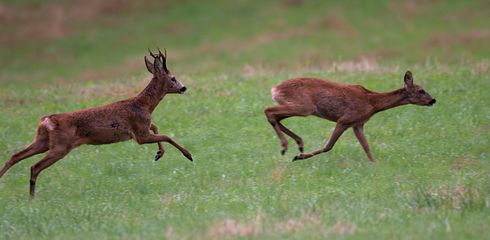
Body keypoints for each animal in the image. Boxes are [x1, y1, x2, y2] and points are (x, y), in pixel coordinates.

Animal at [0, 48, 193, 197]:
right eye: (173, 78)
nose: (184, 88)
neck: (143, 105)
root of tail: (47, 119)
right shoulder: (139, 135)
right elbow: (167, 135)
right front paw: (188, 155)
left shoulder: (142, 129)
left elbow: (156, 127)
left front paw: (159, 154)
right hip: (61, 146)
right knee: (34, 166)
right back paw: (32, 197)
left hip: (43, 140)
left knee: (15, 156)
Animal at [264, 71, 436, 161]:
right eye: (421, 90)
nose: (433, 100)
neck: (372, 103)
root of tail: (275, 89)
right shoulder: (345, 119)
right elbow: (328, 146)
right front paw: (299, 157)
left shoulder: (358, 124)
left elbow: (366, 146)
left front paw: (374, 164)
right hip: (304, 107)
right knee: (269, 110)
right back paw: (286, 147)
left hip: (298, 107)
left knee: (276, 116)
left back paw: (298, 143)